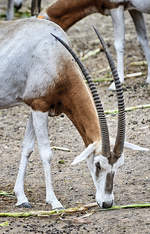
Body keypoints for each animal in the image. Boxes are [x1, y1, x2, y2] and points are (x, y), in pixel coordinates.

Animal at [0, 17, 148, 208]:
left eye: (119, 165)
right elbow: (46, 153)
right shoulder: (39, 107)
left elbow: (27, 147)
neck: (55, 54)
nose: (107, 203)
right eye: (98, 164)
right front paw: (54, 201)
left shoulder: (35, 106)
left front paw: (21, 197)